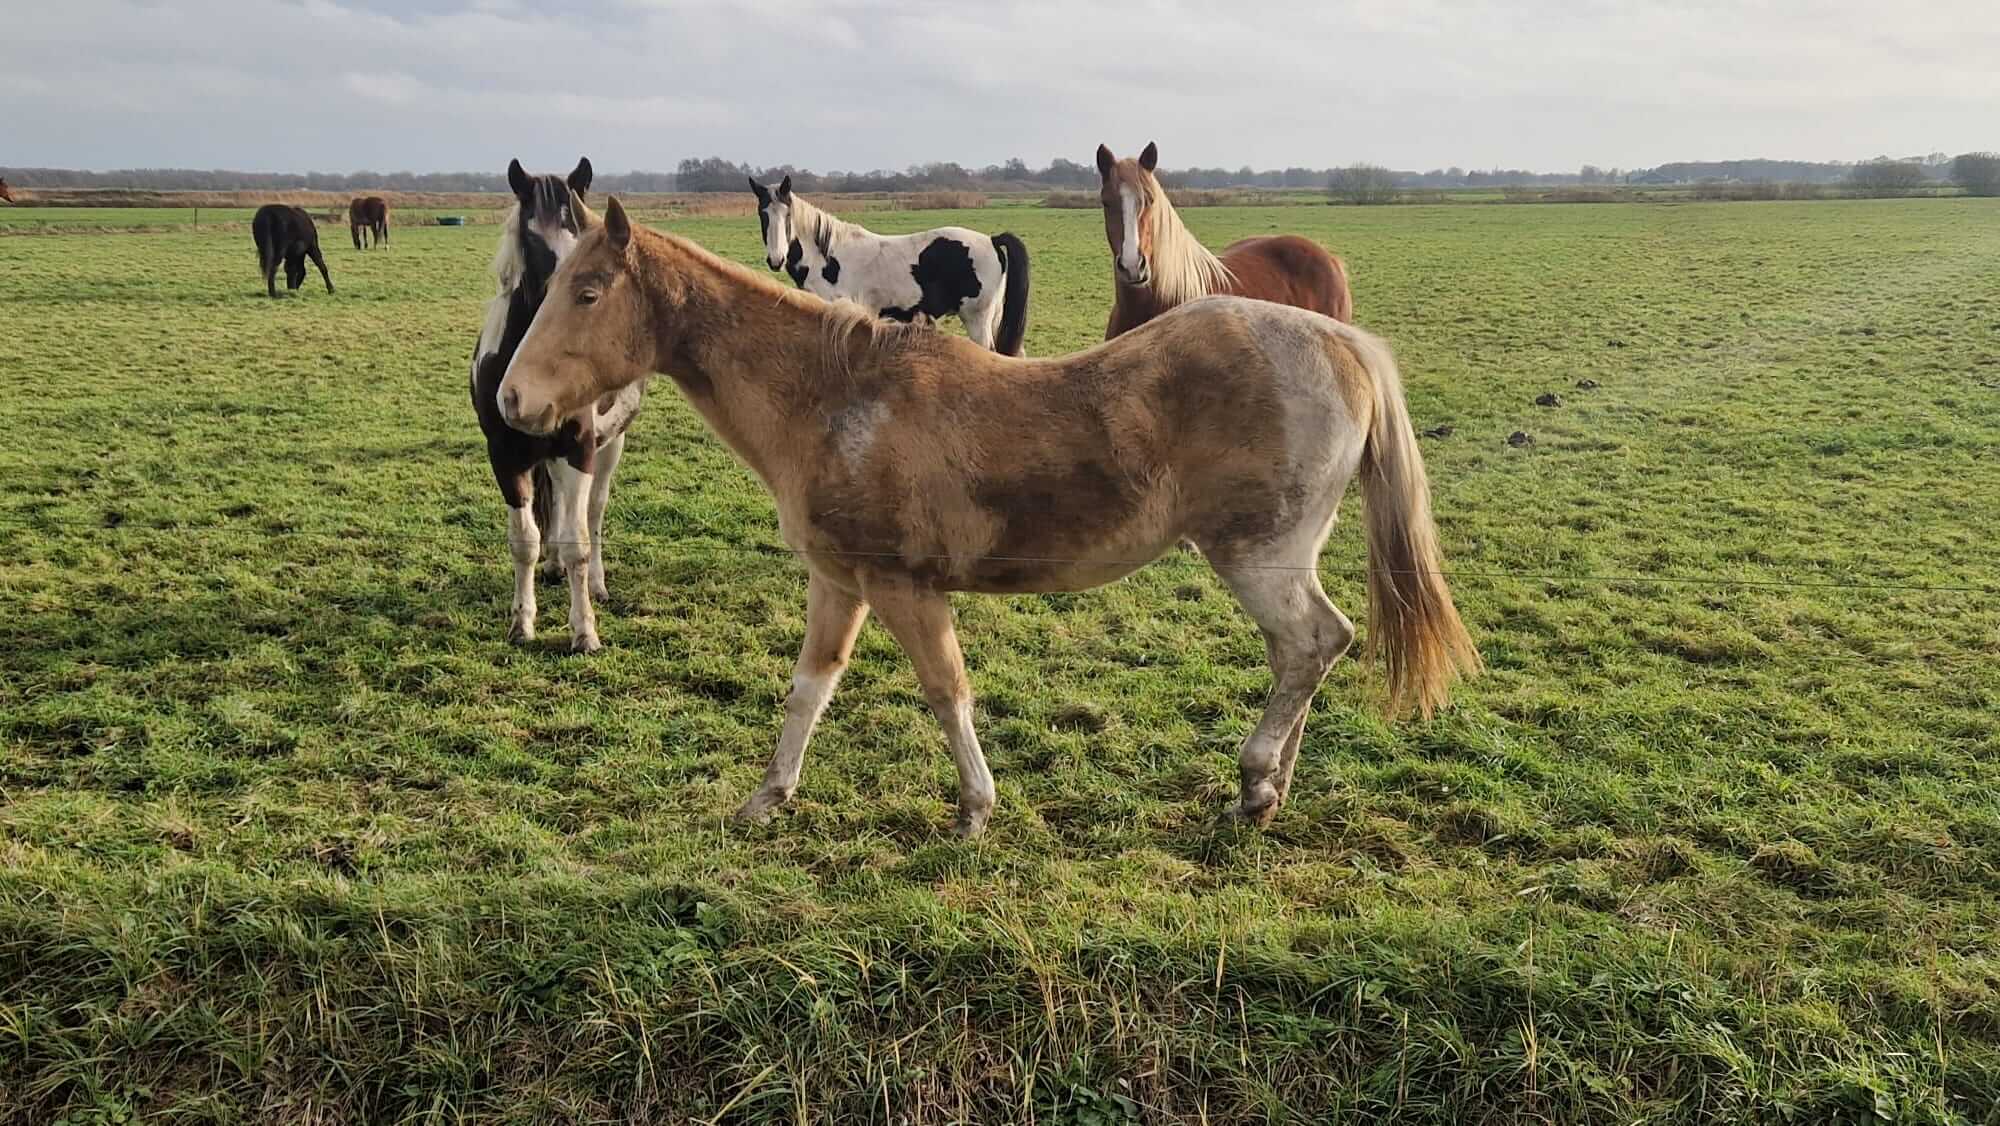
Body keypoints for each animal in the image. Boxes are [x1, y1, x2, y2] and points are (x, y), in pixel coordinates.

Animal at [470, 157, 644, 653]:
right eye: (531, 236)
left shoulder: (579, 449)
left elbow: (577, 541)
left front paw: (584, 630)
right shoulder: (505, 455)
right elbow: (524, 539)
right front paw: (522, 623)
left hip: (609, 445)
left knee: (592, 512)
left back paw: (596, 585)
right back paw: (550, 568)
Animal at [497, 198, 1478, 836]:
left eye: (589, 291)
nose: (512, 401)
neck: (836, 398)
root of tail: (1340, 342)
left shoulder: (904, 586)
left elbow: (947, 690)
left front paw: (974, 809)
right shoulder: (840, 582)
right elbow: (811, 686)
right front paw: (766, 799)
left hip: (1259, 556)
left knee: (1315, 643)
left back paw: (1255, 778)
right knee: (1302, 653)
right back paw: (1271, 786)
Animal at [749, 176, 1031, 355]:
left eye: (787, 214)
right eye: (763, 213)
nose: (776, 259)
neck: (828, 259)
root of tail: (992, 240)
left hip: (977, 320)